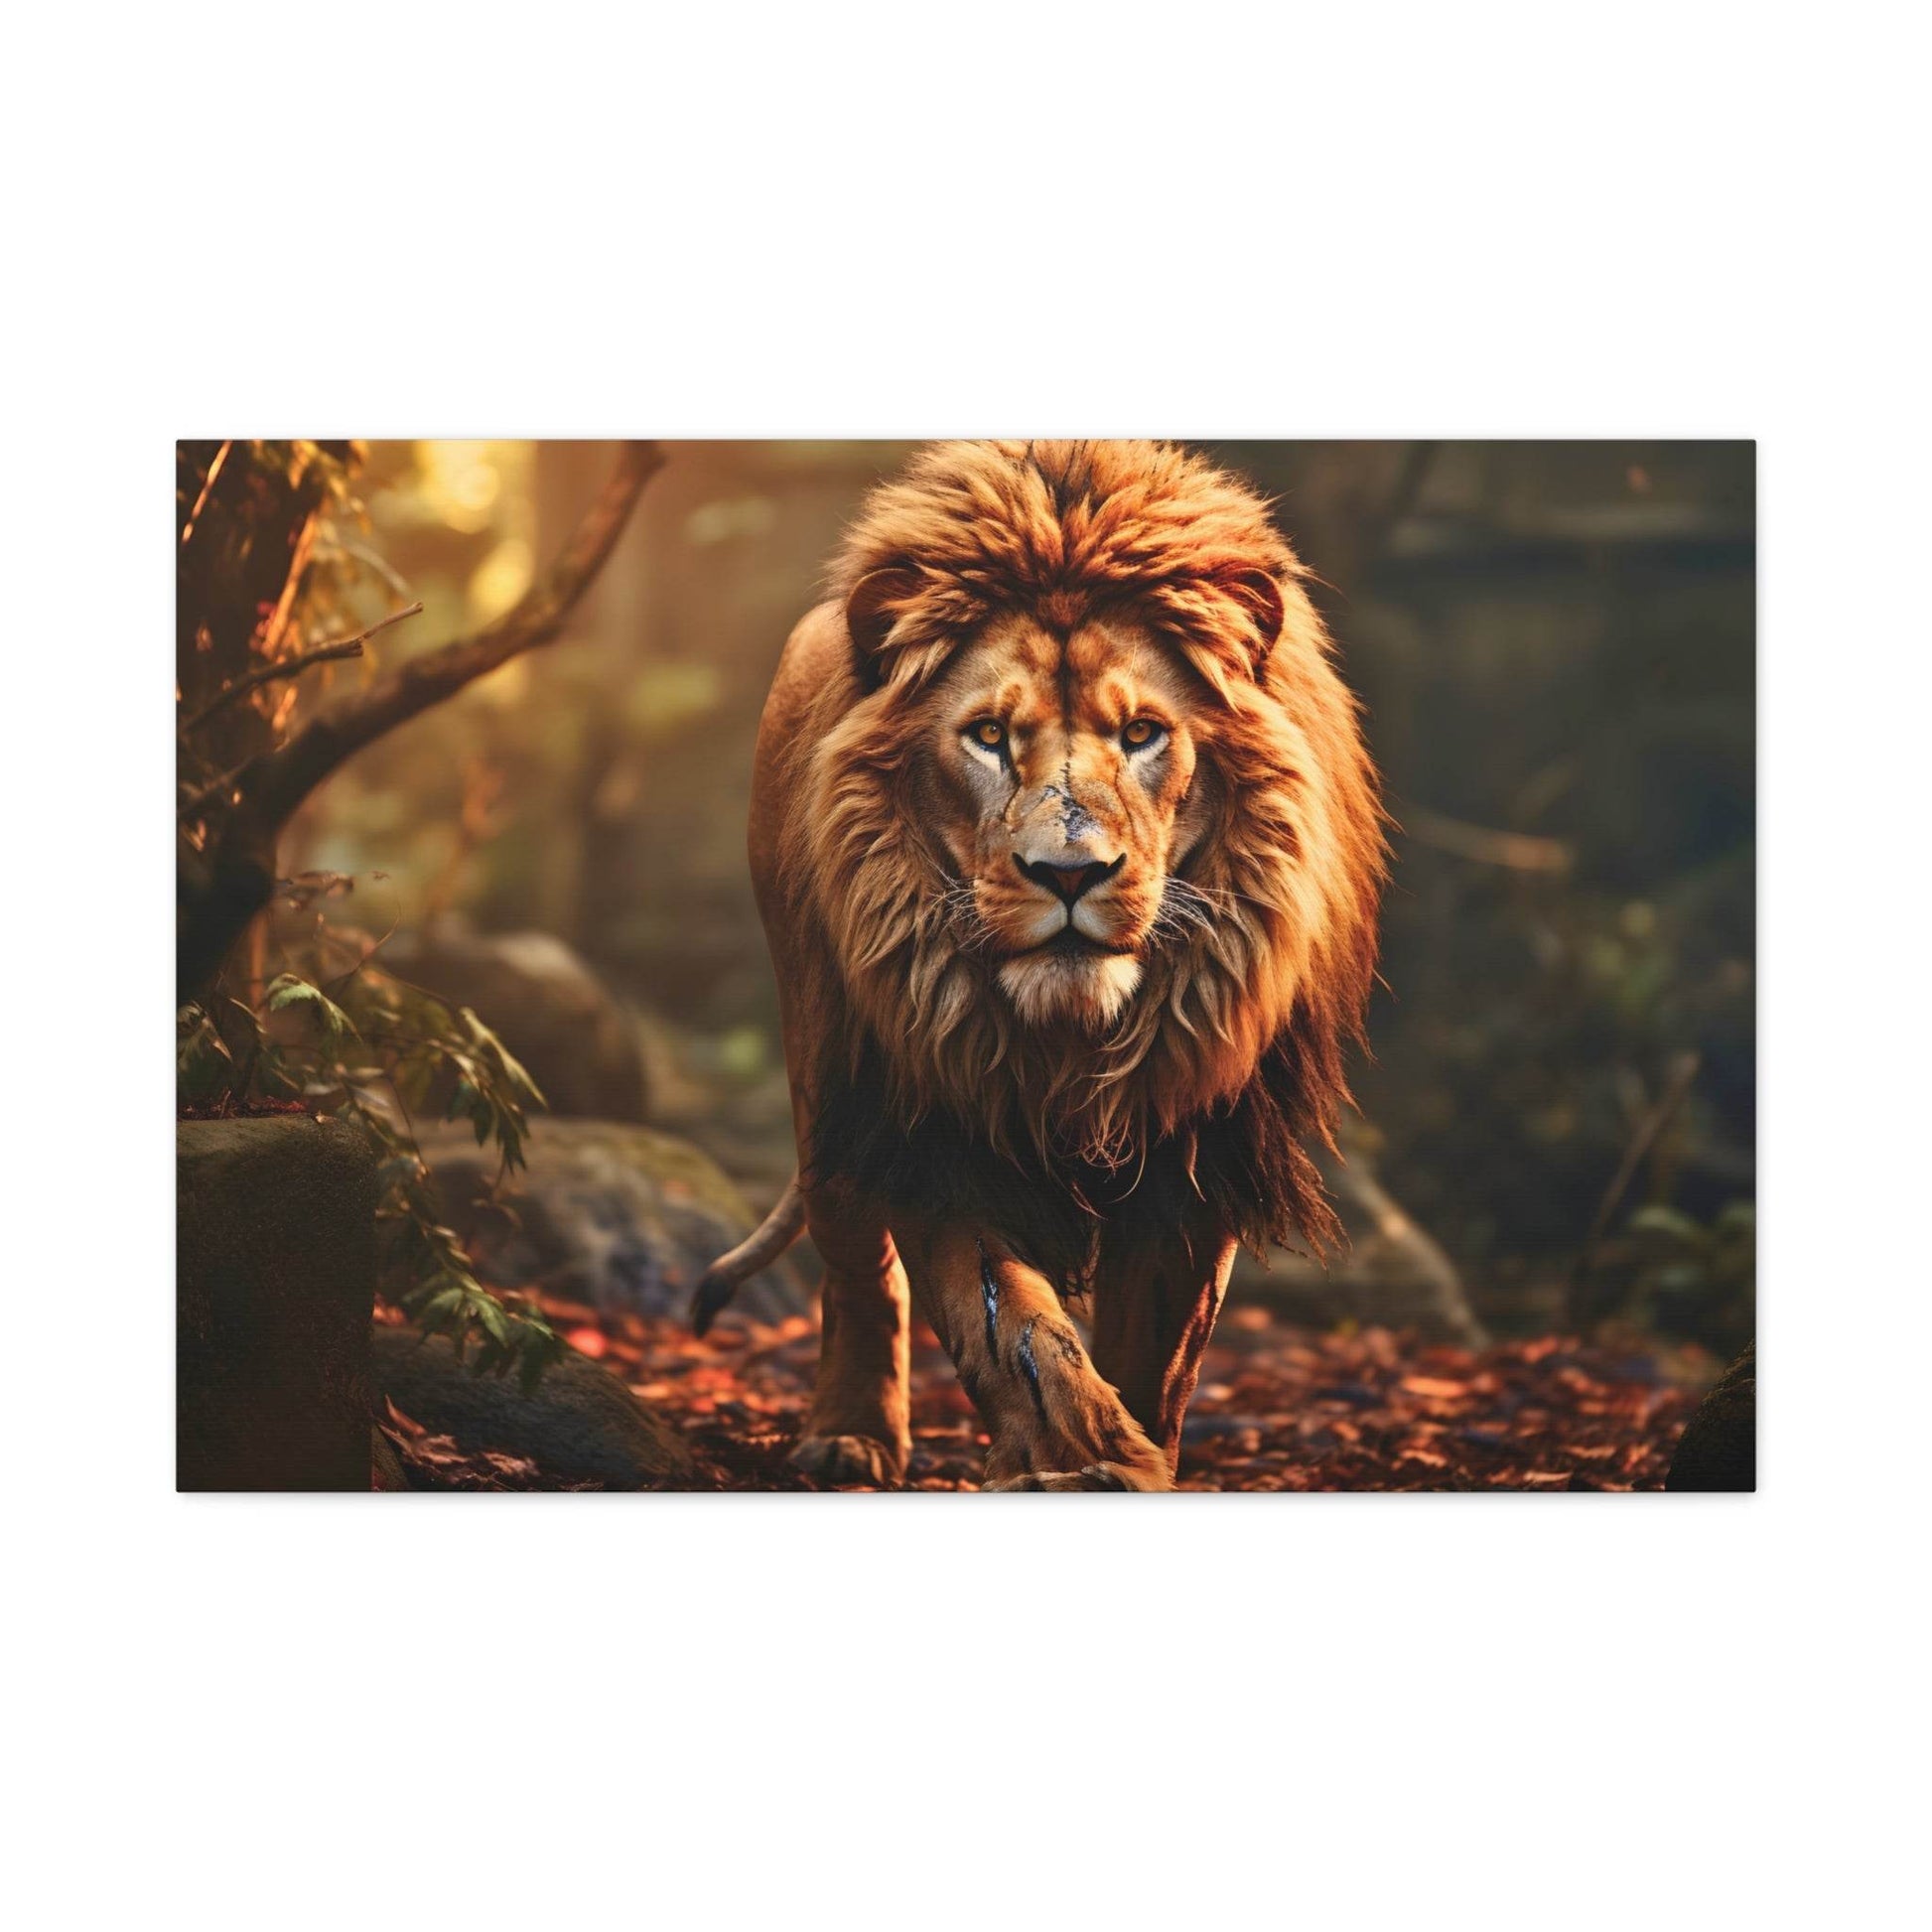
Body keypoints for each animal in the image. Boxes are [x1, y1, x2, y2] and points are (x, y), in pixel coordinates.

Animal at [692, 440, 1386, 1490]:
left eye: (1141, 734)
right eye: (988, 735)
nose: (1069, 872)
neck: (1072, 1041)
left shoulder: (1198, 1142)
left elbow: (1157, 1354)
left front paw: (1133, 1458)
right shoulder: (936, 1118)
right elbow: (1010, 1329)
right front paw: (1078, 1455)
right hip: (825, 1065)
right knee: (856, 1264)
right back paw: (849, 1436)